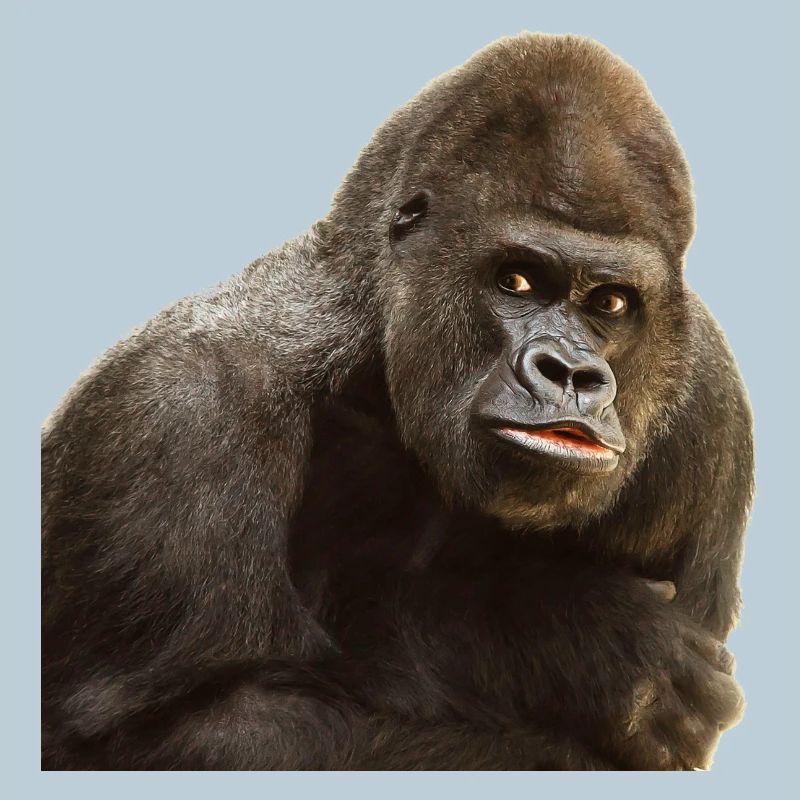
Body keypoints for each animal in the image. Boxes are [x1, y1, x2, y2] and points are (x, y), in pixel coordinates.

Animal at [41, 32, 753, 770]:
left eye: (610, 303)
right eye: (517, 280)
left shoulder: (710, 409)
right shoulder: (180, 408)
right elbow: (170, 731)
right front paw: (567, 638)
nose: (570, 373)